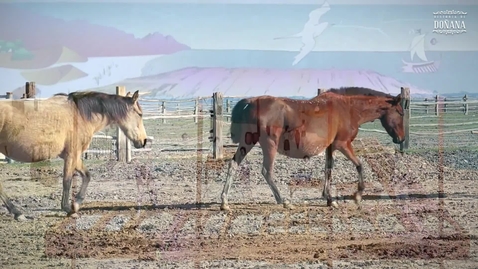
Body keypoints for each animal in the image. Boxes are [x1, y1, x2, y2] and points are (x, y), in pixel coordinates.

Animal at [0, 90, 148, 220]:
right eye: (140, 114)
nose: (144, 141)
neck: (80, 114)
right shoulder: (71, 155)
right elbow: (67, 181)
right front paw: (68, 209)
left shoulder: (74, 156)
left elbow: (87, 176)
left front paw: (76, 205)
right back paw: (18, 213)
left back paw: (17, 213)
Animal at [219, 86, 404, 209]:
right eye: (401, 112)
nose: (401, 138)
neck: (348, 108)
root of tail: (252, 101)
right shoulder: (342, 144)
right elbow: (359, 165)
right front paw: (357, 195)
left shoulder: (331, 147)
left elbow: (328, 169)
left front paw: (329, 198)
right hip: (269, 145)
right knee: (267, 171)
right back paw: (283, 201)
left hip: (248, 142)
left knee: (233, 164)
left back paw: (224, 201)